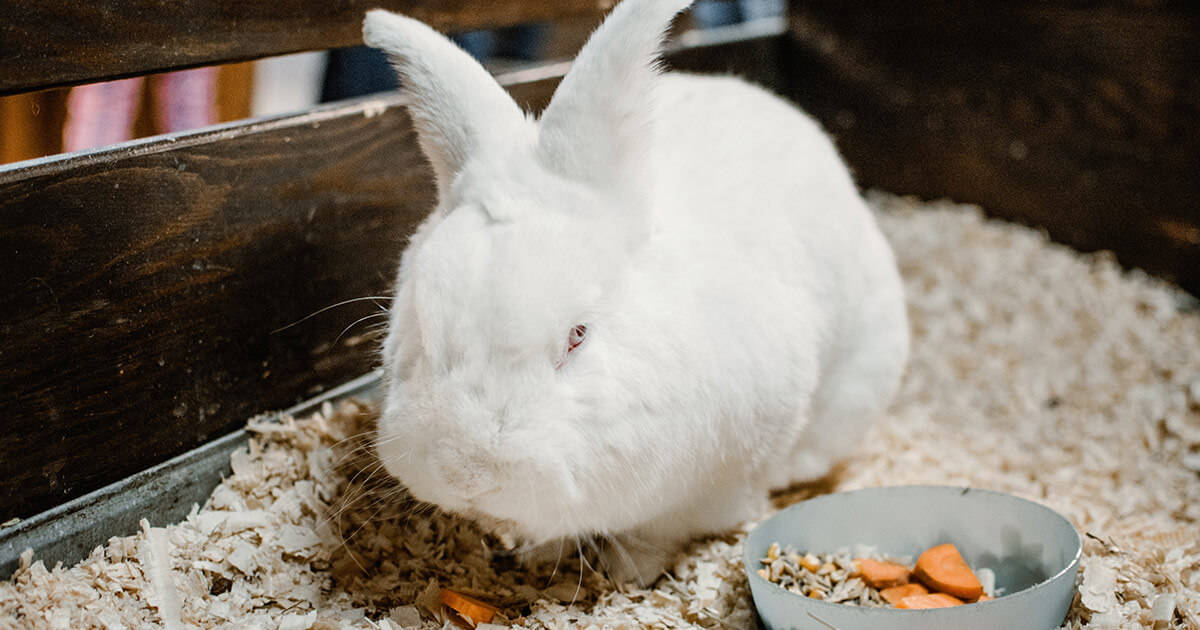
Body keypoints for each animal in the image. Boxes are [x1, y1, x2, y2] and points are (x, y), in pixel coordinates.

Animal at [360, 0, 902, 585]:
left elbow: (653, 534)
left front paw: (630, 575)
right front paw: (537, 556)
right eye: (420, 325)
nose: (465, 472)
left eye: (578, 335)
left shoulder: (718, 485)